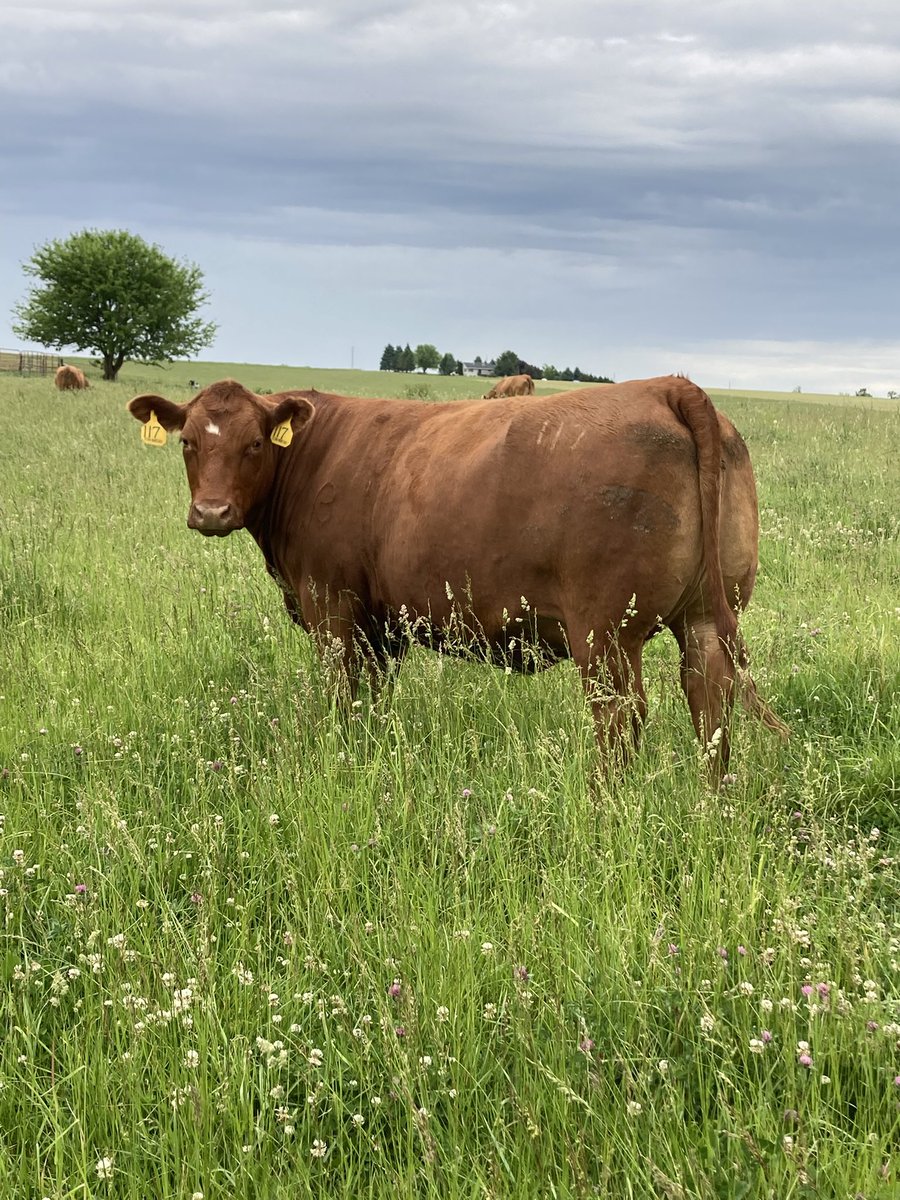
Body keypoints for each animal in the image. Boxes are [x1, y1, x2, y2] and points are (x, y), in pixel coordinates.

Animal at [128, 375, 787, 777]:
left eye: (254, 445)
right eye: (188, 442)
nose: (212, 513)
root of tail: (666, 386)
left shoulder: (331, 606)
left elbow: (342, 698)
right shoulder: (381, 626)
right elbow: (375, 700)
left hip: (605, 633)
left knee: (621, 721)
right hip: (705, 618)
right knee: (711, 704)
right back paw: (710, 806)